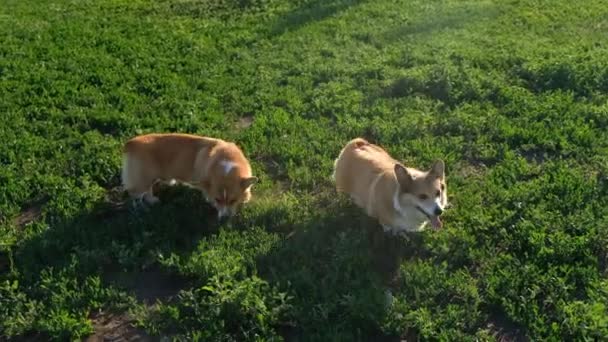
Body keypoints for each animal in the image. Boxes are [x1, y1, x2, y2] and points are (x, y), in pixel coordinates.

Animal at [122, 134, 258, 219]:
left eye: (233, 200)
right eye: (217, 199)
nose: (224, 219)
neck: (227, 163)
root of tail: (130, 144)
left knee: (148, 190)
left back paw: (152, 200)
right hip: (142, 180)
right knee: (135, 194)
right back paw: (141, 211)